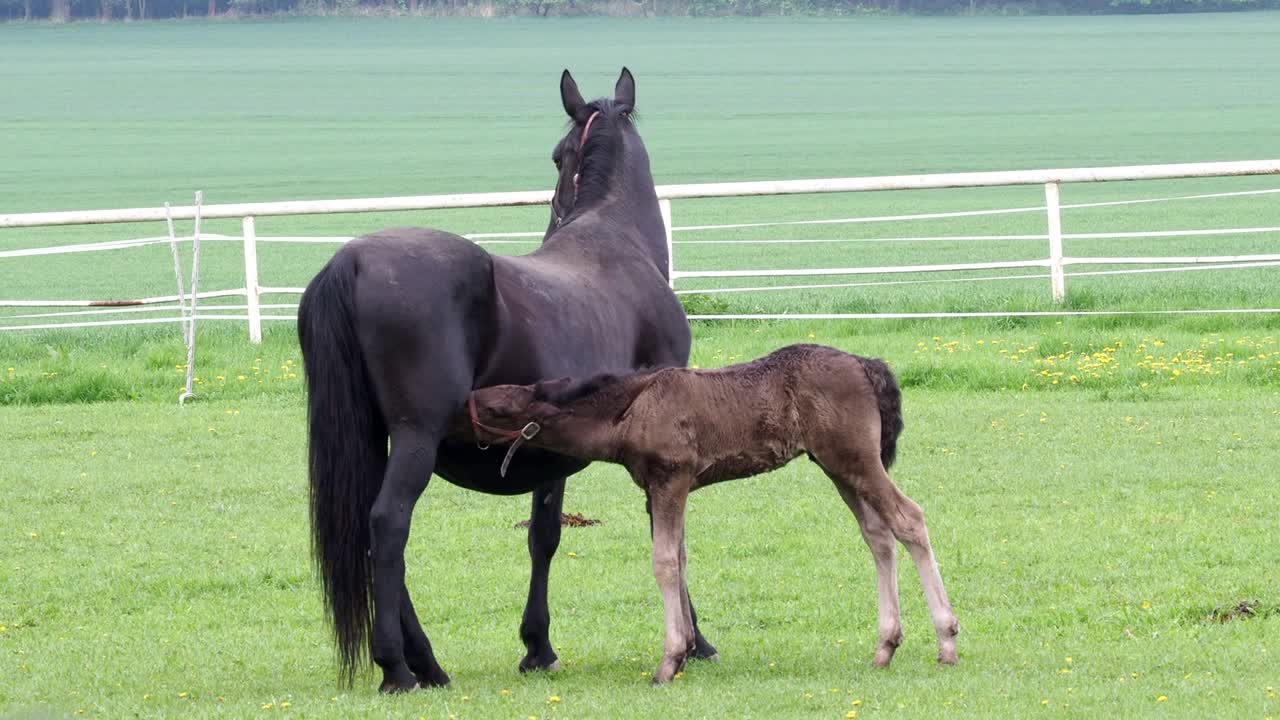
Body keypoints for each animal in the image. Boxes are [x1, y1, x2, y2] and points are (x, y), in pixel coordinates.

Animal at [296, 68, 717, 693]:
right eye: (557, 154)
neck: (616, 242)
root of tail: (351, 262)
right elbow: (669, 536)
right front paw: (695, 641)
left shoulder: (552, 449)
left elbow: (543, 535)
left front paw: (537, 646)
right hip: (415, 439)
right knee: (387, 527)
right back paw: (398, 666)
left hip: (372, 439)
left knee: (366, 533)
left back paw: (427, 663)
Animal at [465, 344, 959, 683]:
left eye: (495, 407)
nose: (462, 400)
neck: (633, 409)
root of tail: (863, 363)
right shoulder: (665, 488)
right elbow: (681, 559)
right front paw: (686, 650)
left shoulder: (670, 479)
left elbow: (664, 562)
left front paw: (668, 661)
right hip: (837, 466)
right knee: (877, 534)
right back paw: (885, 647)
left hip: (855, 459)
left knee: (909, 519)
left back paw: (947, 641)